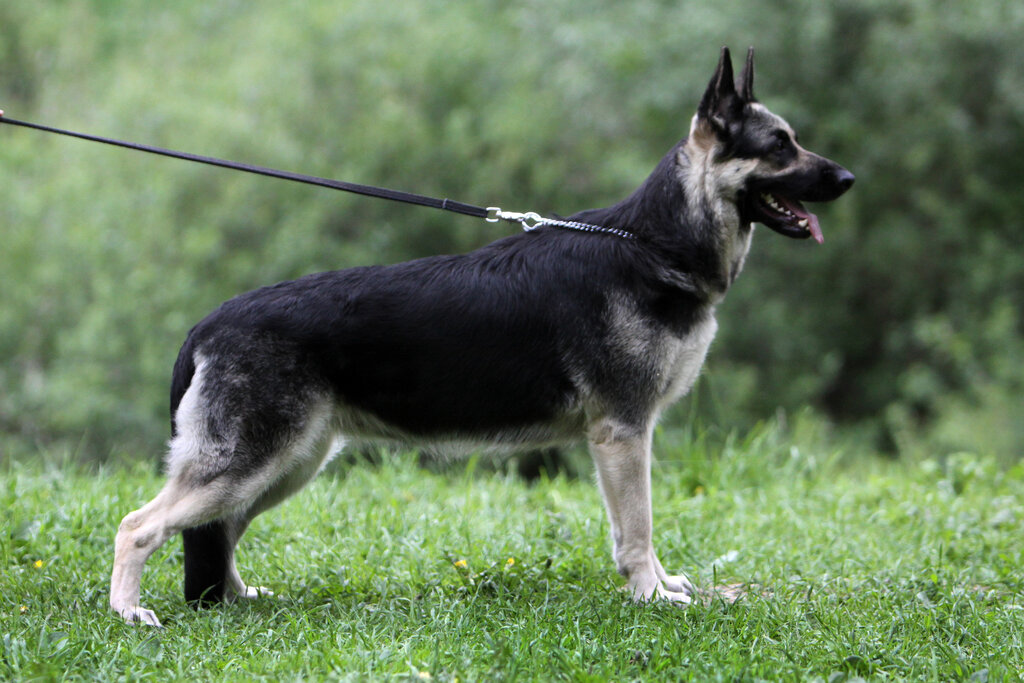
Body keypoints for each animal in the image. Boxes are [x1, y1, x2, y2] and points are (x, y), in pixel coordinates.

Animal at [108, 46, 851, 626]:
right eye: (779, 146)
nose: (848, 177)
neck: (654, 244)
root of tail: (206, 323)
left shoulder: (620, 440)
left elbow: (627, 528)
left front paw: (657, 586)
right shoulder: (623, 433)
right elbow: (637, 528)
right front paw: (650, 596)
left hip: (286, 463)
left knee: (220, 528)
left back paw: (236, 598)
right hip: (250, 462)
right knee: (139, 525)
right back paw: (129, 611)